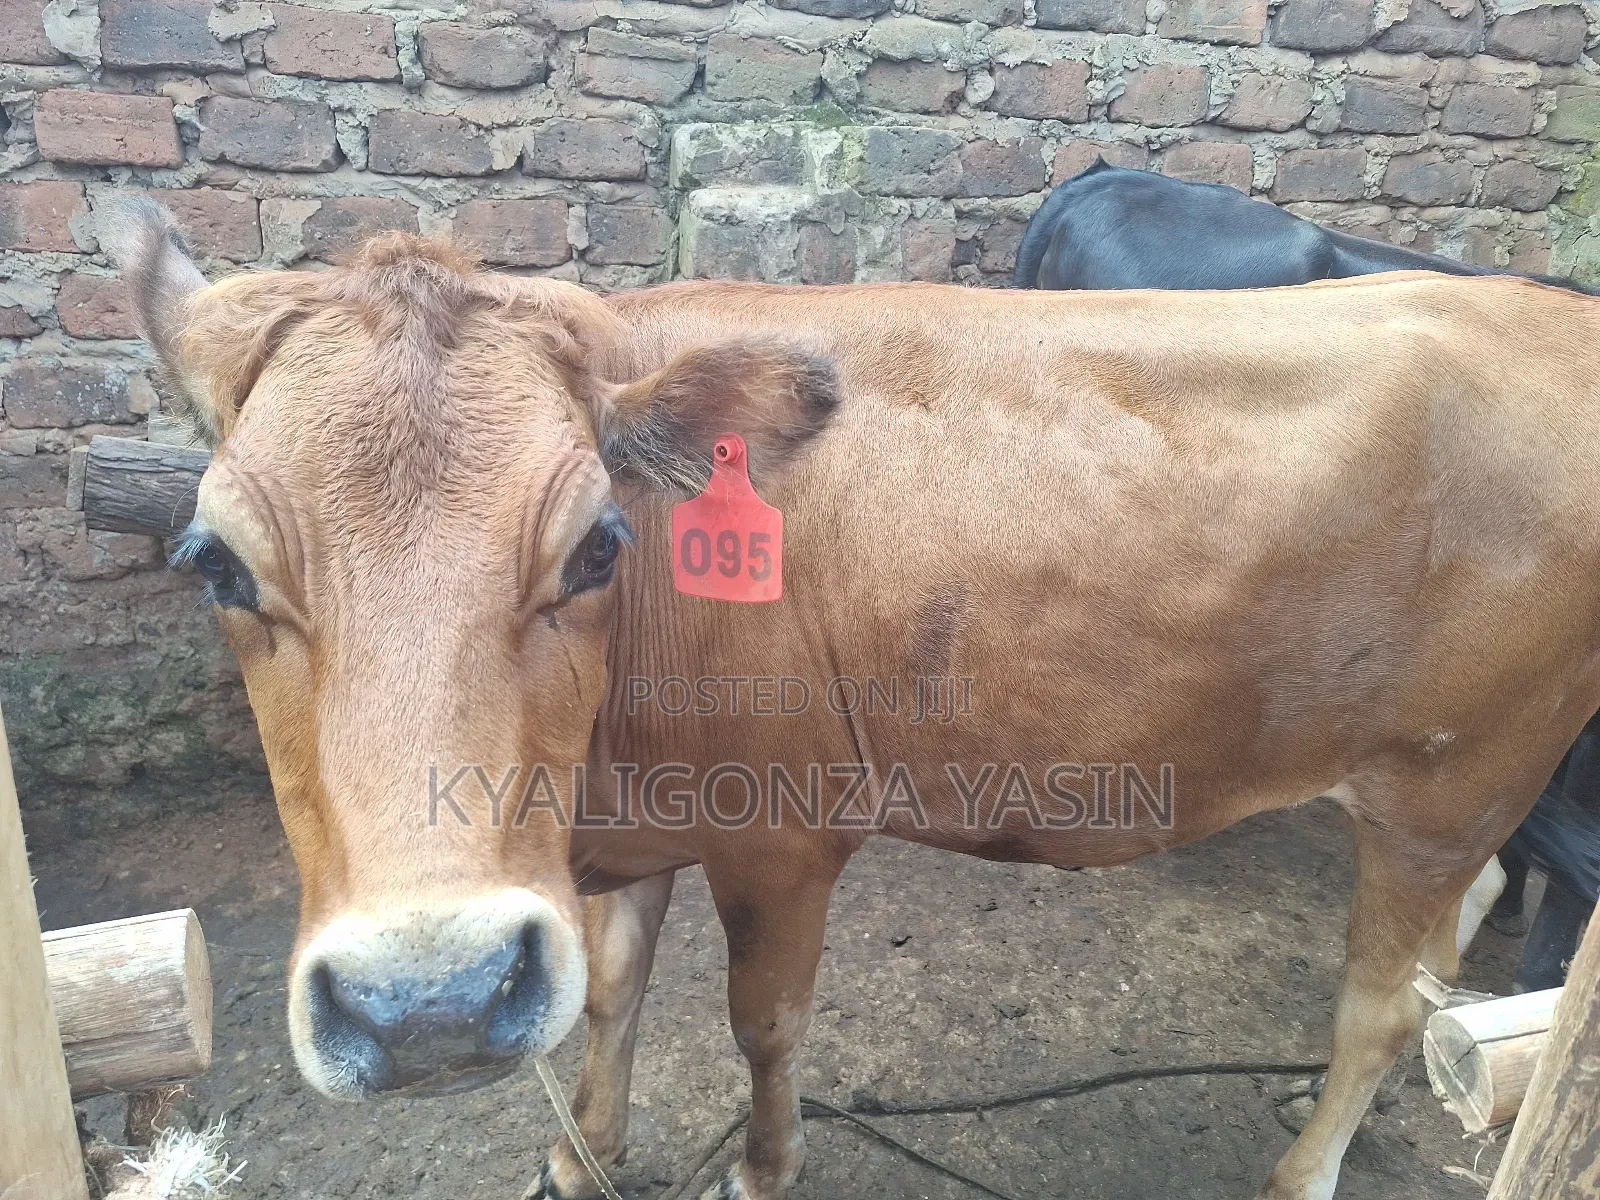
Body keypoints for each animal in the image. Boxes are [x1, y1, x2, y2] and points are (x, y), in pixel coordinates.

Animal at [108, 198, 1600, 1200]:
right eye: (215, 562)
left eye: (596, 545)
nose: (431, 1002)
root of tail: (1550, 309)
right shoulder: (623, 835)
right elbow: (609, 992)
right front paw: (582, 1152)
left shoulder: (782, 830)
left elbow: (763, 1026)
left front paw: (760, 1170)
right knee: (1433, 958)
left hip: (1458, 775)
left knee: (1385, 1003)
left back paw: (1301, 1167)